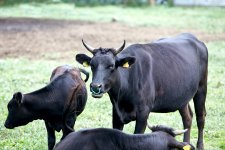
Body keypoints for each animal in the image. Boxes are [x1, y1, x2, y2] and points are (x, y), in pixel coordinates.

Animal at [75, 33, 207, 150]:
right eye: (92, 65)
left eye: (111, 65)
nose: (95, 87)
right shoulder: (116, 114)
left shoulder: (143, 113)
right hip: (182, 97)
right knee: (187, 118)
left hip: (201, 88)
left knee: (200, 117)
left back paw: (200, 146)